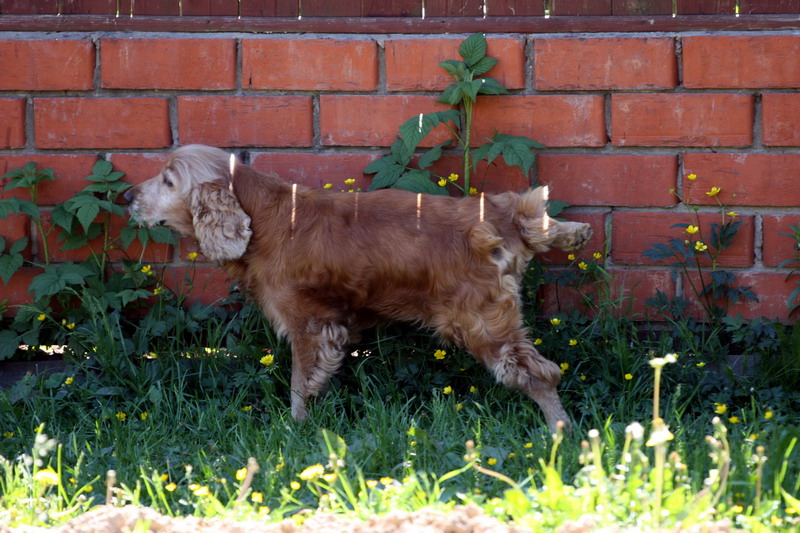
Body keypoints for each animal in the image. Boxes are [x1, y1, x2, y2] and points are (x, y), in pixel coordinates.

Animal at [122, 144, 592, 428]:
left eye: (168, 181)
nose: (128, 196)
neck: (265, 216)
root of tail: (501, 220)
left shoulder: (310, 323)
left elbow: (300, 383)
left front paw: (295, 429)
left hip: (482, 322)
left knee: (541, 374)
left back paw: (560, 432)